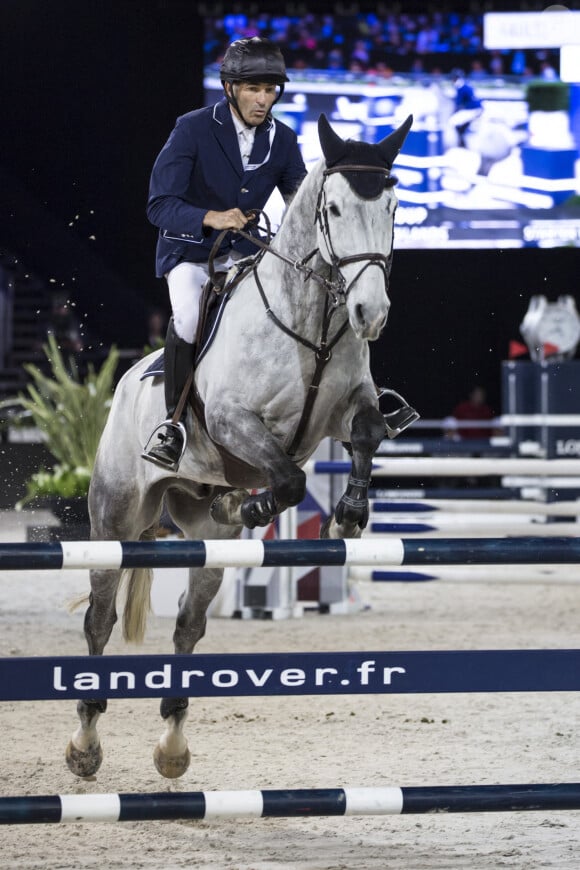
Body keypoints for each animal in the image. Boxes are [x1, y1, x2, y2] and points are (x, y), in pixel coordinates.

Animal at [67, 112, 412, 780]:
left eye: (392, 206)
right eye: (333, 207)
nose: (371, 313)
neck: (314, 321)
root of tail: (123, 383)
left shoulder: (347, 409)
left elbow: (365, 434)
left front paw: (349, 515)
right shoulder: (233, 422)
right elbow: (290, 480)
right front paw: (257, 503)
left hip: (208, 537)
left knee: (189, 622)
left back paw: (173, 747)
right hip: (115, 517)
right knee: (100, 614)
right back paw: (85, 746)